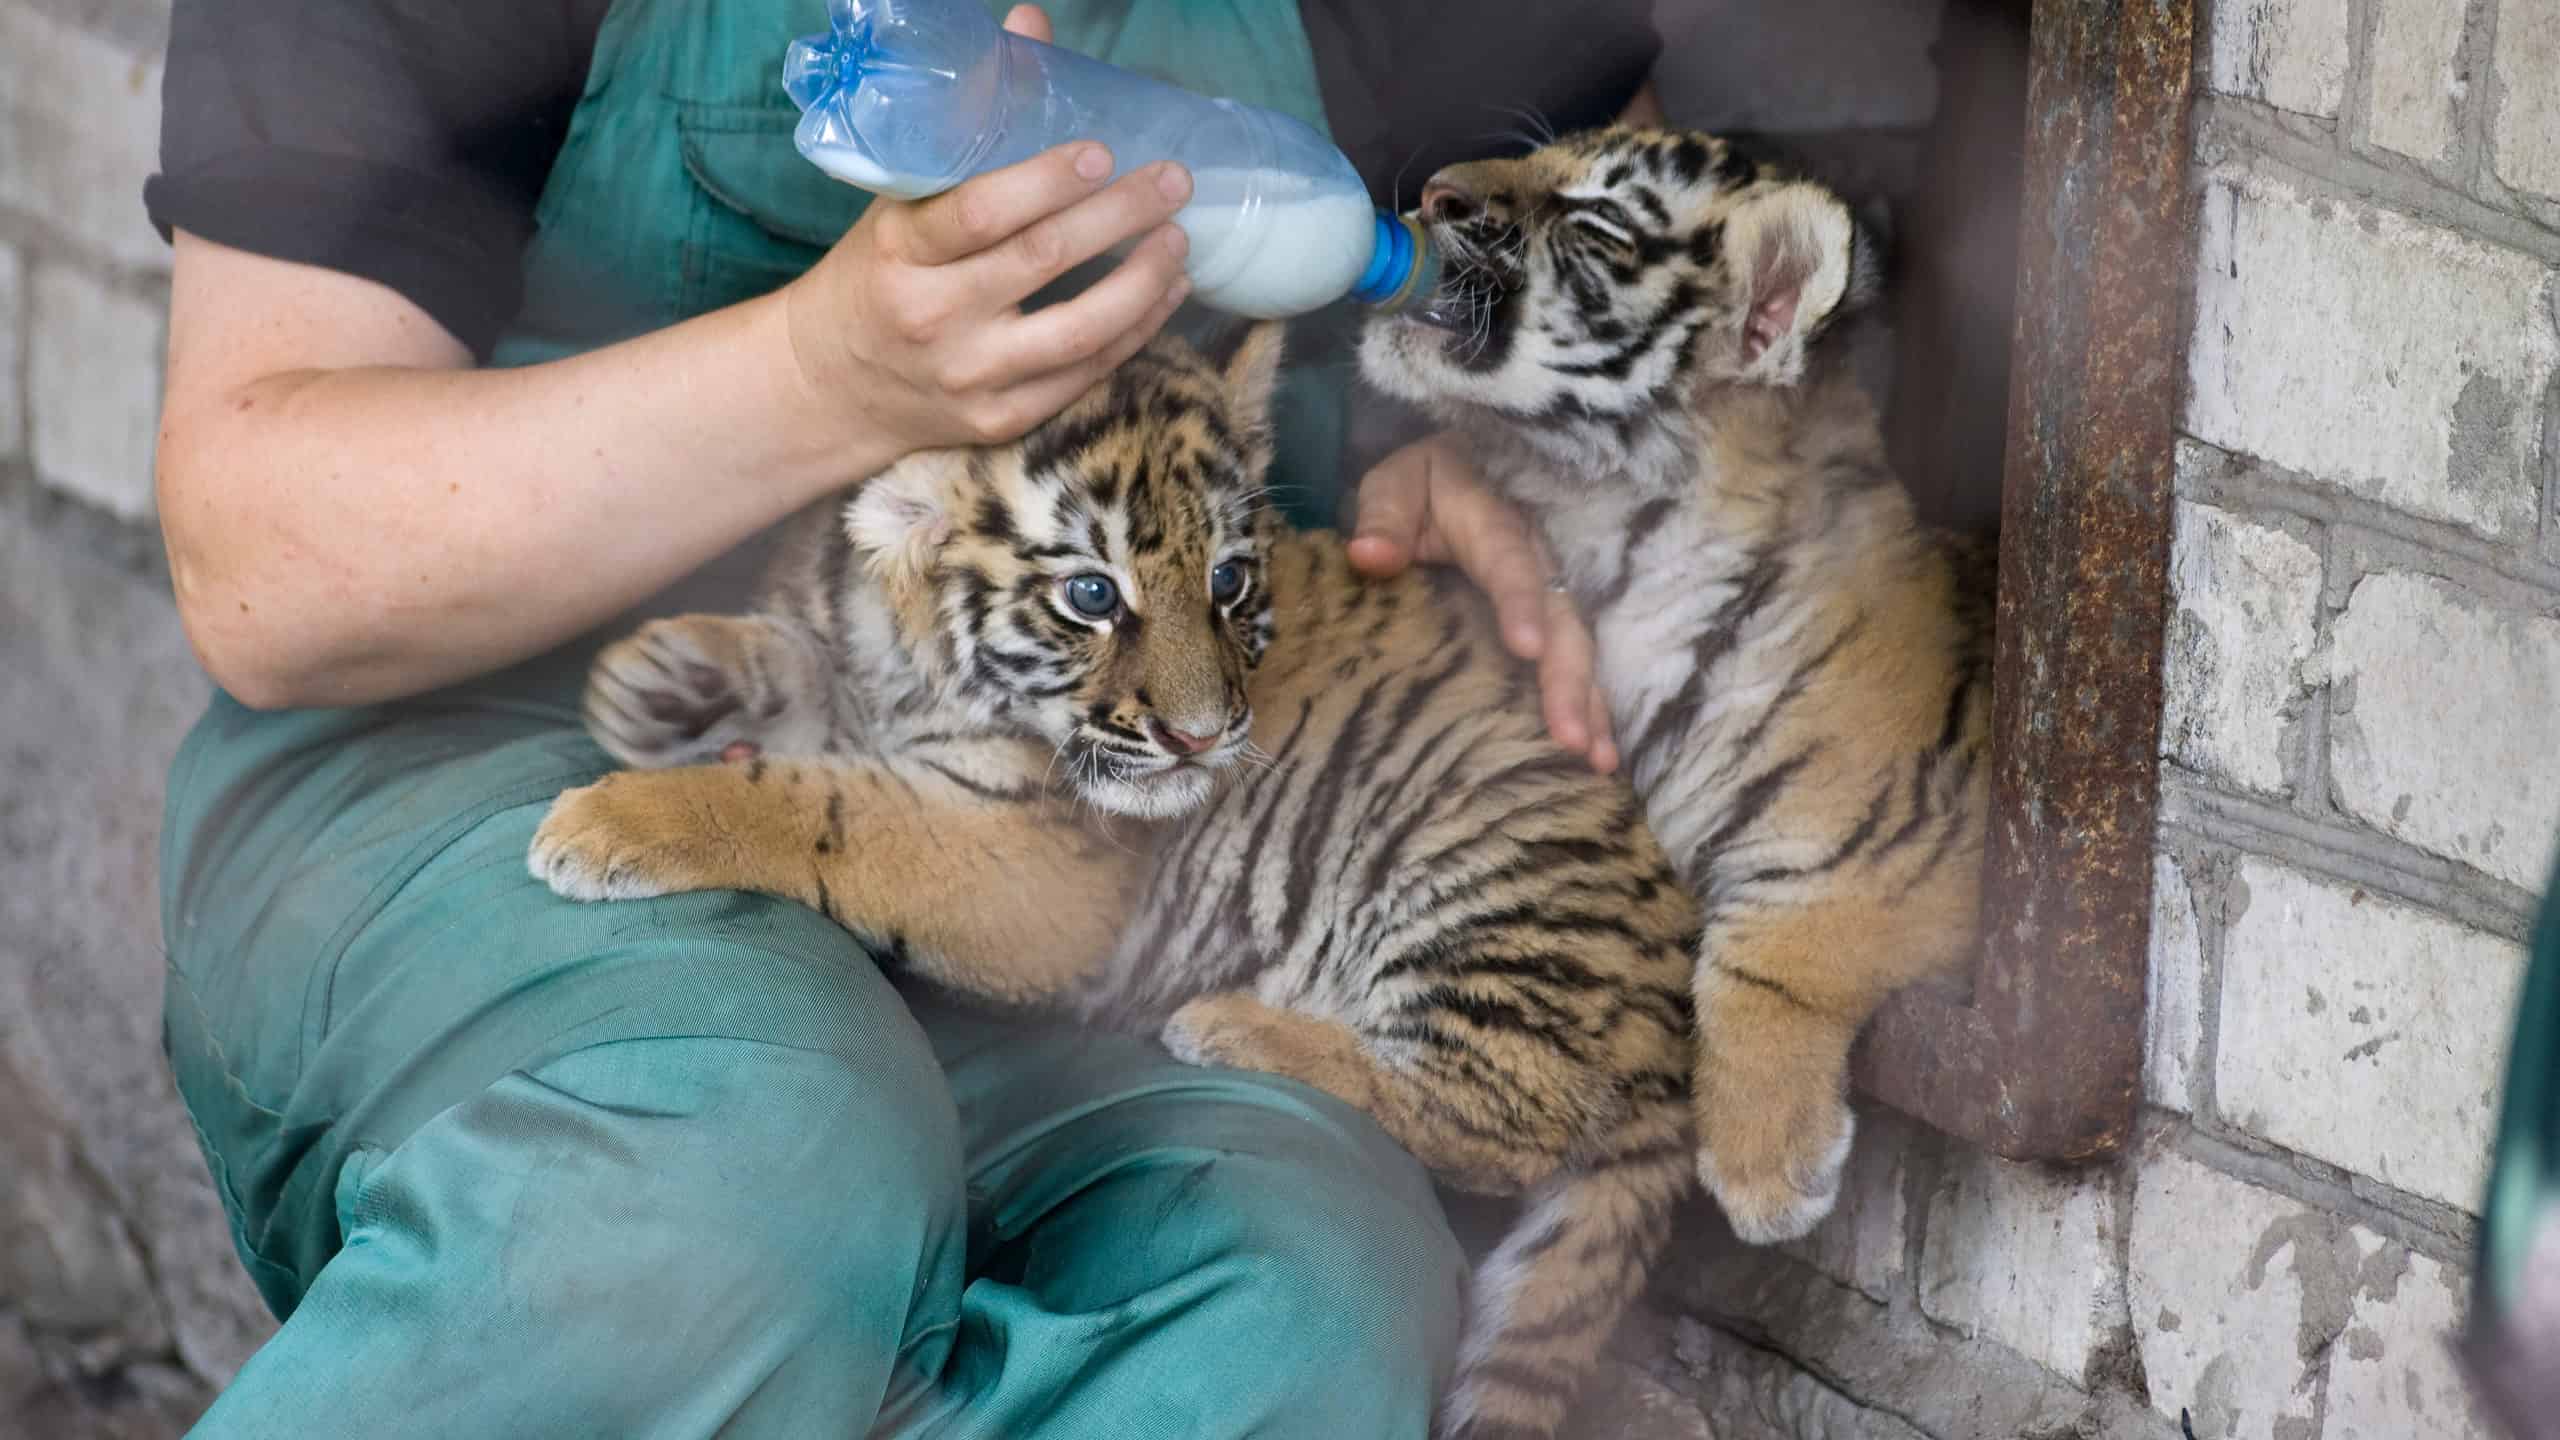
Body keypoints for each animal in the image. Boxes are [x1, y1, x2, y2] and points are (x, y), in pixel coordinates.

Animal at [1358, 125, 1994, 1247]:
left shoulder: (1905, 838)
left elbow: (1767, 944)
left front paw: (1765, 1168)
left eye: (1597, 217)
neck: (1605, 533)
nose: (1432, 194)